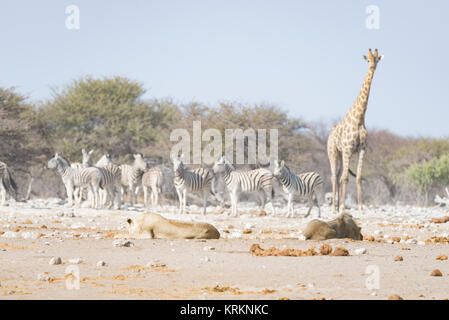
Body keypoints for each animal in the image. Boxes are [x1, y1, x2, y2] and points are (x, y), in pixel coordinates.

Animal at [326, 48, 382, 212]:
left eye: (377, 59)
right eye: (368, 60)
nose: (372, 67)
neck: (359, 119)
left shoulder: (362, 149)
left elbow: (358, 176)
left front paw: (361, 207)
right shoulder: (348, 148)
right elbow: (345, 178)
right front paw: (343, 207)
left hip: (340, 154)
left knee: (338, 176)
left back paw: (337, 206)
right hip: (333, 152)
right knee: (334, 176)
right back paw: (334, 208)